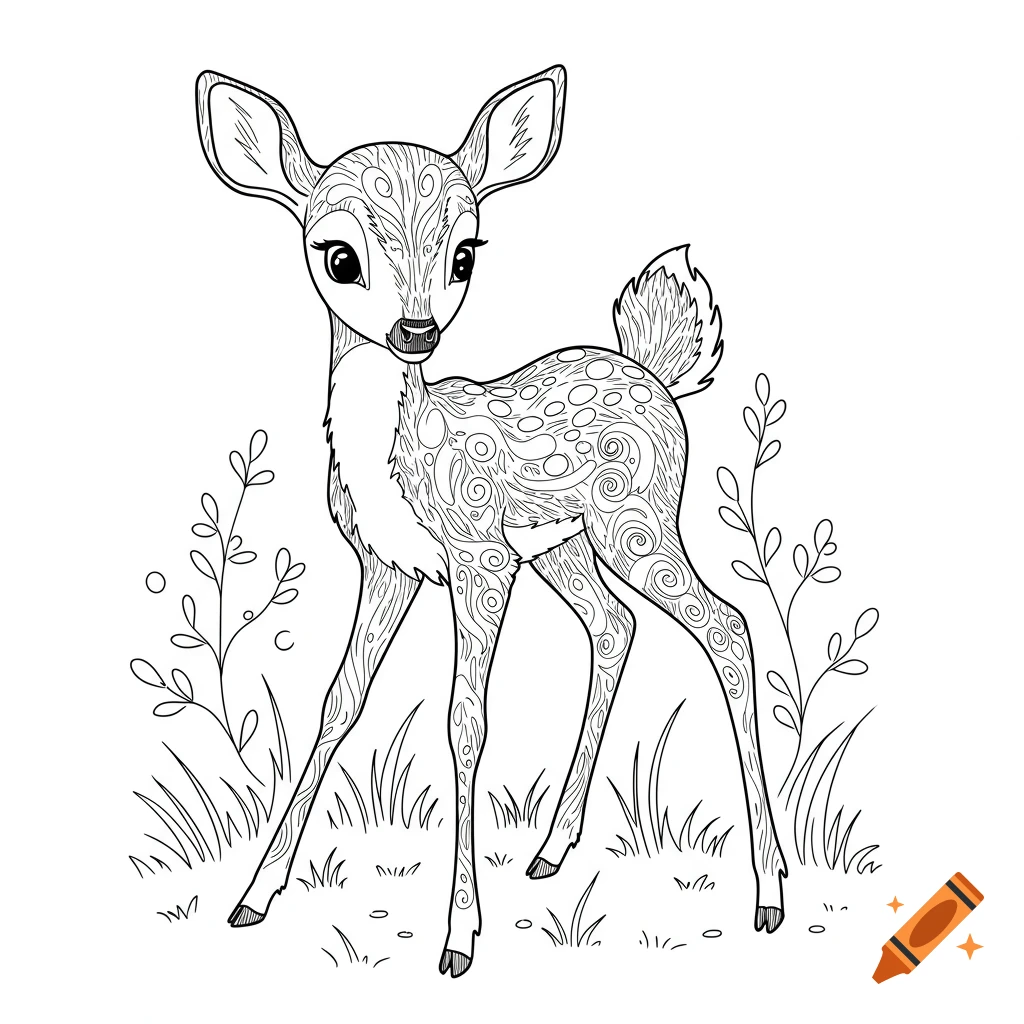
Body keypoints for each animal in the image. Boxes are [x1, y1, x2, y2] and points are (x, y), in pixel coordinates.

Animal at [195, 64, 787, 977]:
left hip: (637, 521)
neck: (404, 454)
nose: (415, 329)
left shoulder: (477, 558)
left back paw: (768, 893)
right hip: (566, 546)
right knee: (614, 625)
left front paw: (459, 938)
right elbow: (337, 703)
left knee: (725, 624)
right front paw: (253, 897)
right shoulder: (388, 565)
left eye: (464, 252)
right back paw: (551, 851)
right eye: (339, 255)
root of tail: (654, 370)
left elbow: (464, 724)